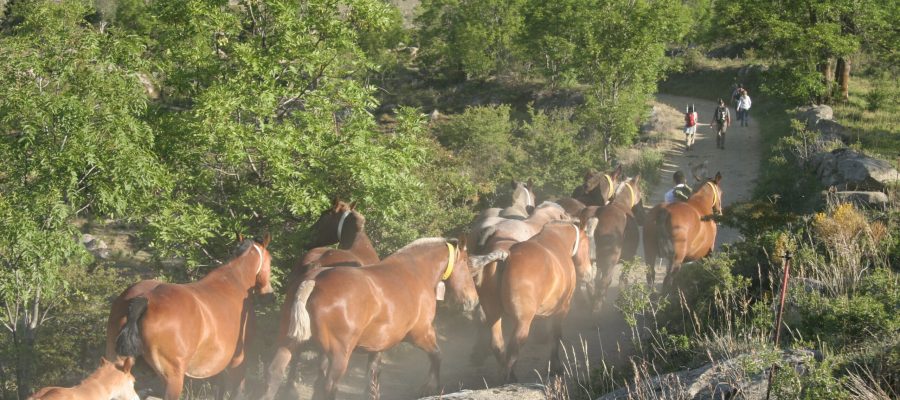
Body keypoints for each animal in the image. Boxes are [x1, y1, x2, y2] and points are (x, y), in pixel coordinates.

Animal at [106, 238, 274, 400]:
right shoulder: (237, 361)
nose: (268, 293)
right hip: (173, 379)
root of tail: (145, 299)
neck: (234, 281)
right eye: (270, 259)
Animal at [270, 238, 482, 400]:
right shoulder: (421, 334)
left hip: (289, 344)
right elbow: (437, 356)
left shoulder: (378, 346)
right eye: (466, 264)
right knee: (328, 386)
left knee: (275, 374)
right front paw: (430, 387)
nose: (473, 300)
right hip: (338, 355)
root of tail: (313, 281)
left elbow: (372, 376)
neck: (414, 273)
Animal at [496, 222, 596, 382]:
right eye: (587, 245)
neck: (558, 240)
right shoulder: (562, 309)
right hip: (523, 322)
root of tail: (508, 258)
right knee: (513, 348)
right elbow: (556, 336)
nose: (588, 274)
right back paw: (509, 378)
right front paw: (555, 367)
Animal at [580, 177, 644, 312]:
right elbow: (622, 280)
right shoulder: (629, 259)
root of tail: (596, 216)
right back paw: (596, 308)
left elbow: (597, 278)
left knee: (591, 282)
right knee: (605, 281)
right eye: (640, 192)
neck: (621, 203)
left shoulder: (599, 262)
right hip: (610, 260)